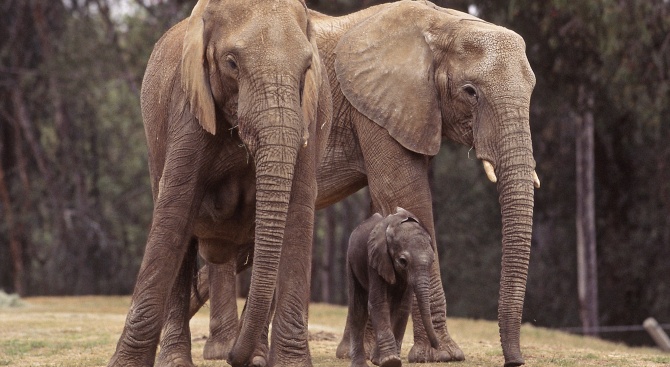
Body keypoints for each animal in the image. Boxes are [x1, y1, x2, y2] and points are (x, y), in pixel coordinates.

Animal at [108, 0, 336, 367]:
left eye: (306, 68)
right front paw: (127, 364)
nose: (233, 357)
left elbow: (298, 213)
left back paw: (253, 354)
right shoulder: (187, 105)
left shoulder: (309, 118)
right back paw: (180, 358)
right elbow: (173, 212)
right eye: (231, 63)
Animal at [346, 208, 440, 366]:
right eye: (403, 261)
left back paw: (375, 359)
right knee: (358, 308)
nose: (436, 345)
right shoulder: (375, 259)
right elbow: (378, 303)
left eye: (433, 260)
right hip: (351, 260)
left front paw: (386, 361)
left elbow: (402, 307)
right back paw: (361, 364)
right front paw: (391, 361)